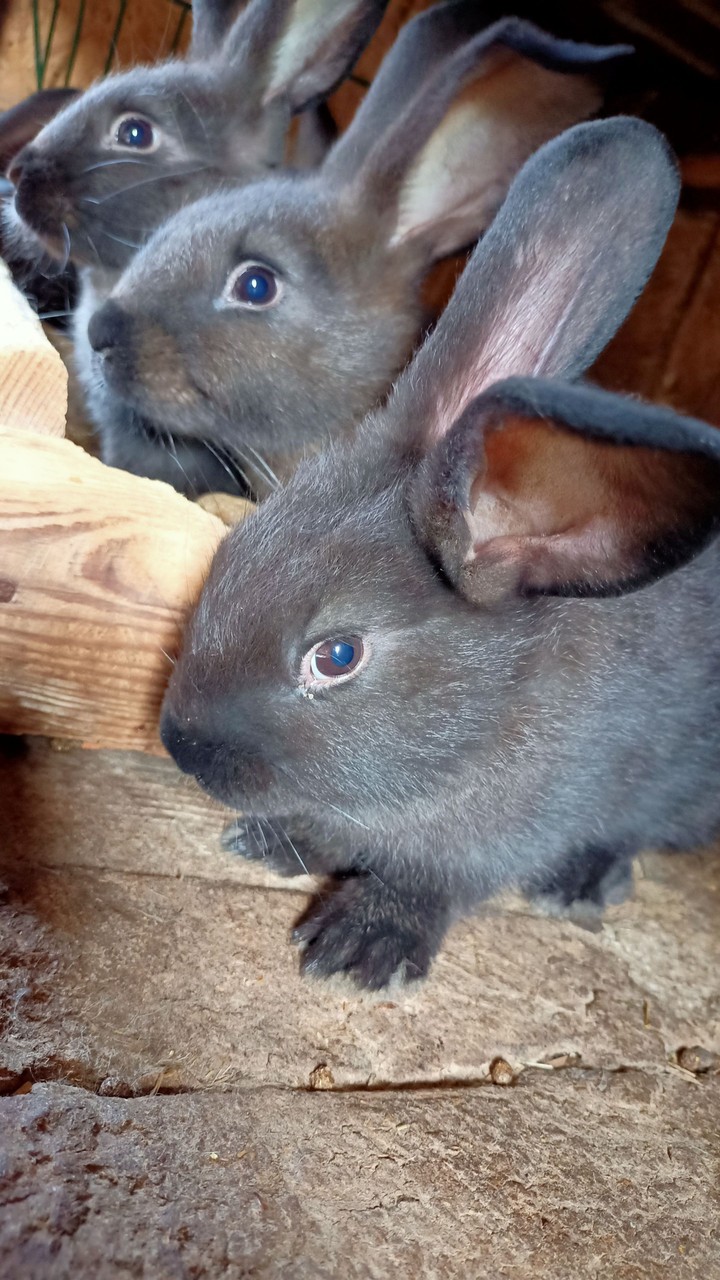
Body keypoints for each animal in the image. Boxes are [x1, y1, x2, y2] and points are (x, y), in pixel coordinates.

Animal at [159, 115, 720, 992]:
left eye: (337, 656)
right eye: (232, 552)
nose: (179, 746)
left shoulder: (499, 835)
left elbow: (429, 882)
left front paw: (357, 949)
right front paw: (274, 844)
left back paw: (580, 882)